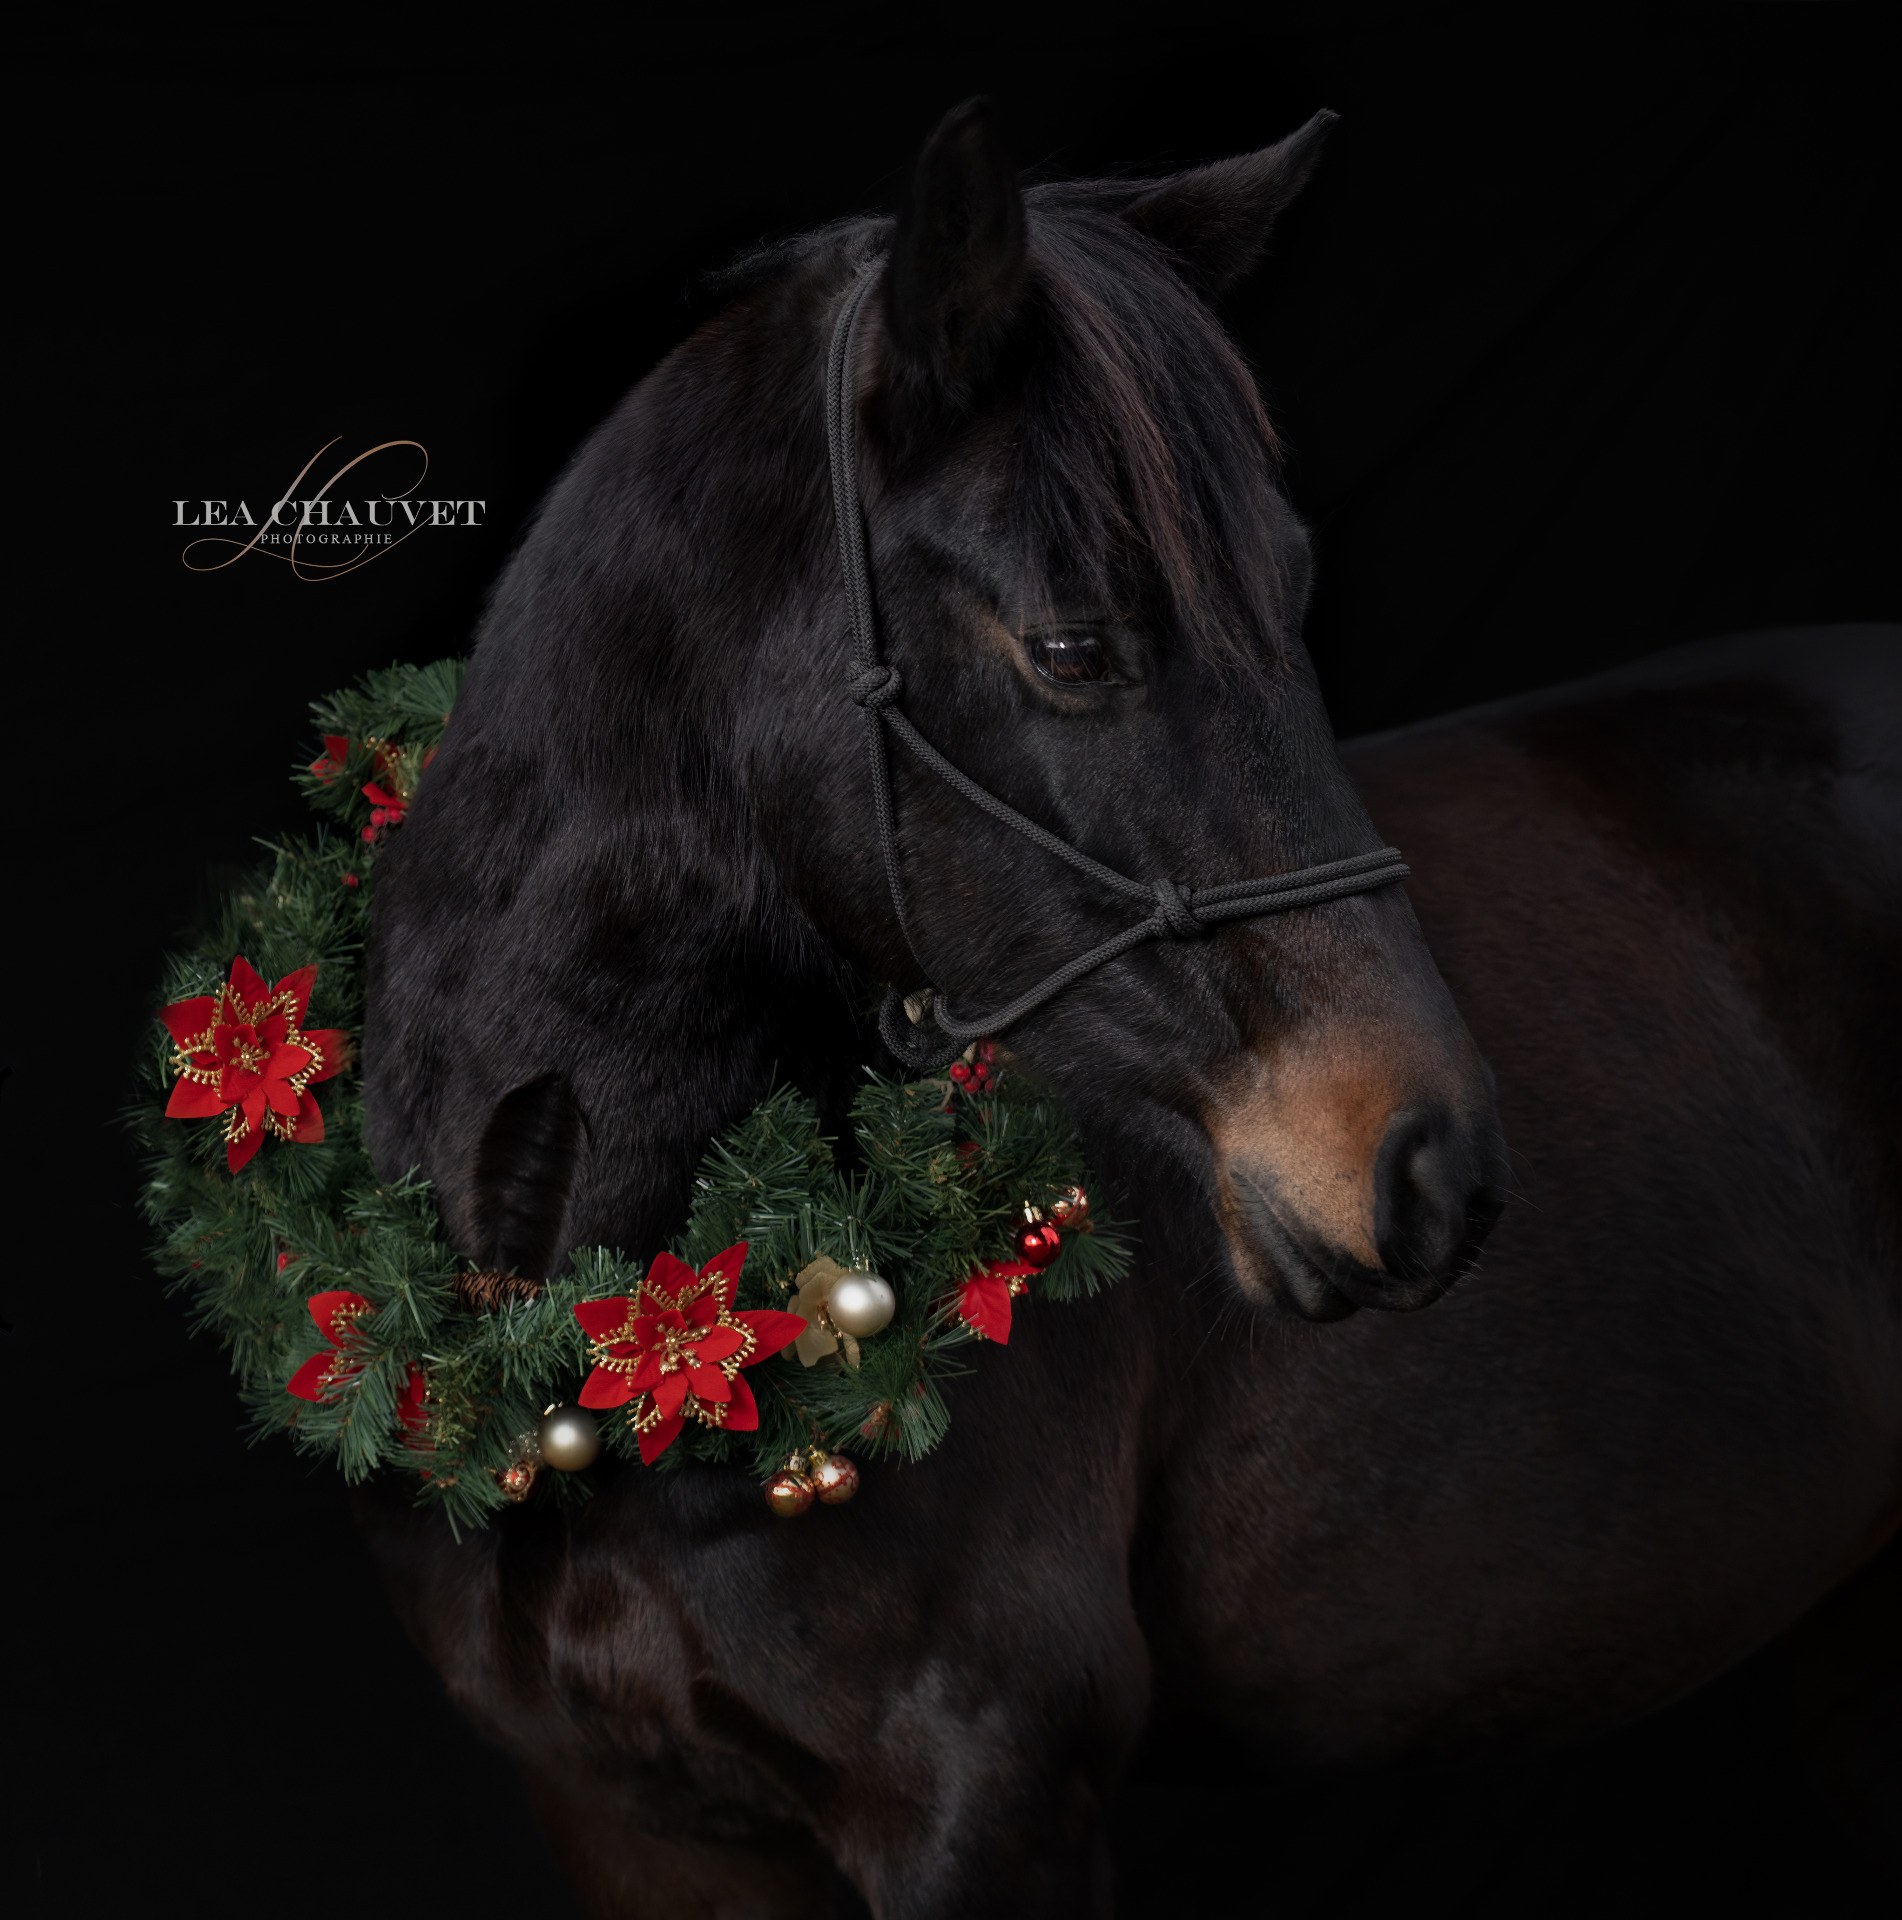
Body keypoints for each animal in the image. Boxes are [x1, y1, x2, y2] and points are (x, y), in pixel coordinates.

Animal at [357, 101, 1901, 1916]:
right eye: (1073, 647)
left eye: (1288, 596)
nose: (1434, 1168)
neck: (580, 1338)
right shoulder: (637, 1834)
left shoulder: (985, 1804)